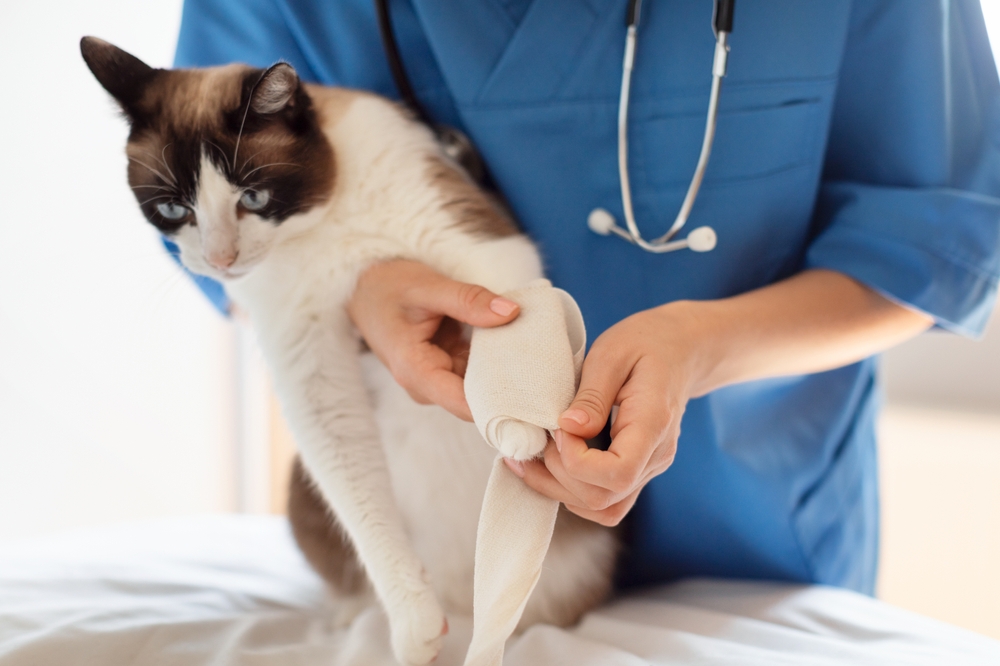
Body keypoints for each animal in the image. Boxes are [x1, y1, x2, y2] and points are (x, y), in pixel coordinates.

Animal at [82, 37, 616, 664]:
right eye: (172, 210)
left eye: (254, 197)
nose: (219, 260)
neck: (318, 229)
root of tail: (464, 602)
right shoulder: (307, 367)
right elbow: (359, 499)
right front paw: (413, 626)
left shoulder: (485, 248)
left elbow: (508, 321)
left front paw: (518, 428)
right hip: (300, 492)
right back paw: (365, 619)